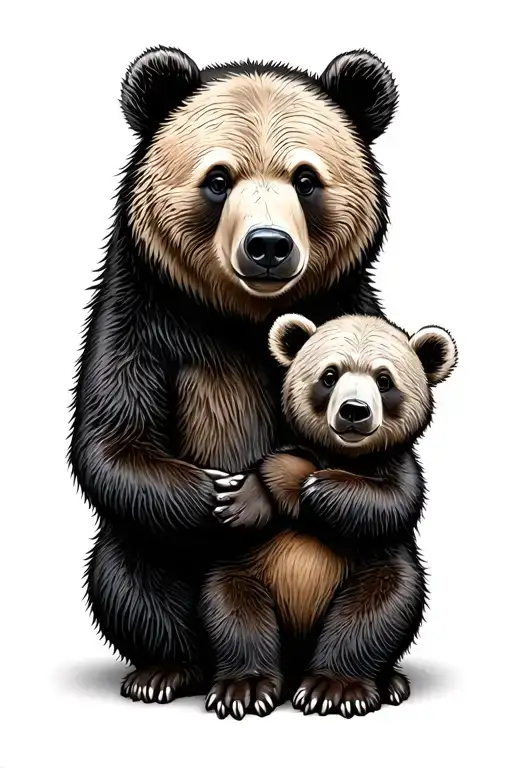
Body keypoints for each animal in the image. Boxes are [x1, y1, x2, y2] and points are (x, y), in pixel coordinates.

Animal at [69, 45, 399, 704]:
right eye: (218, 179)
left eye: (306, 179)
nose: (268, 246)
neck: (241, 316)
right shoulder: (142, 315)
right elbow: (113, 439)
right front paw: (226, 497)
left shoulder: (348, 305)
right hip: (144, 555)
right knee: (127, 574)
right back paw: (169, 670)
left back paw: (352, 682)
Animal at [201, 313, 457, 719]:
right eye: (329, 375)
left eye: (384, 380)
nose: (354, 411)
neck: (341, 456)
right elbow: (274, 465)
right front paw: (244, 499)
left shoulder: (398, 474)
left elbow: (389, 502)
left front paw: (315, 486)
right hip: (248, 569)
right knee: (233, 605)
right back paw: (245, 687)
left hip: (375, 571)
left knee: (381, 603)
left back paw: (342, 686)